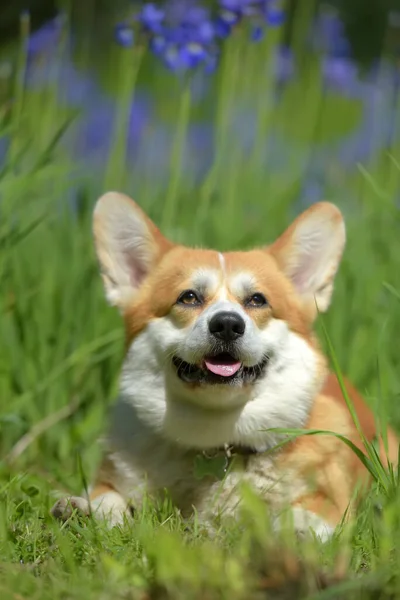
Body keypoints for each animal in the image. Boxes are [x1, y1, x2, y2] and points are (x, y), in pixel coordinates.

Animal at [51, 192, 398, 540]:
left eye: (257, 300)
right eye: (188, 297)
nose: (228, 325)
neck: (217, 439)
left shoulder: (328, 502)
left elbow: (303, 517)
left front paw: (294, 531)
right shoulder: (113, 477)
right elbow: (108, 497)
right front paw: (83, 508)